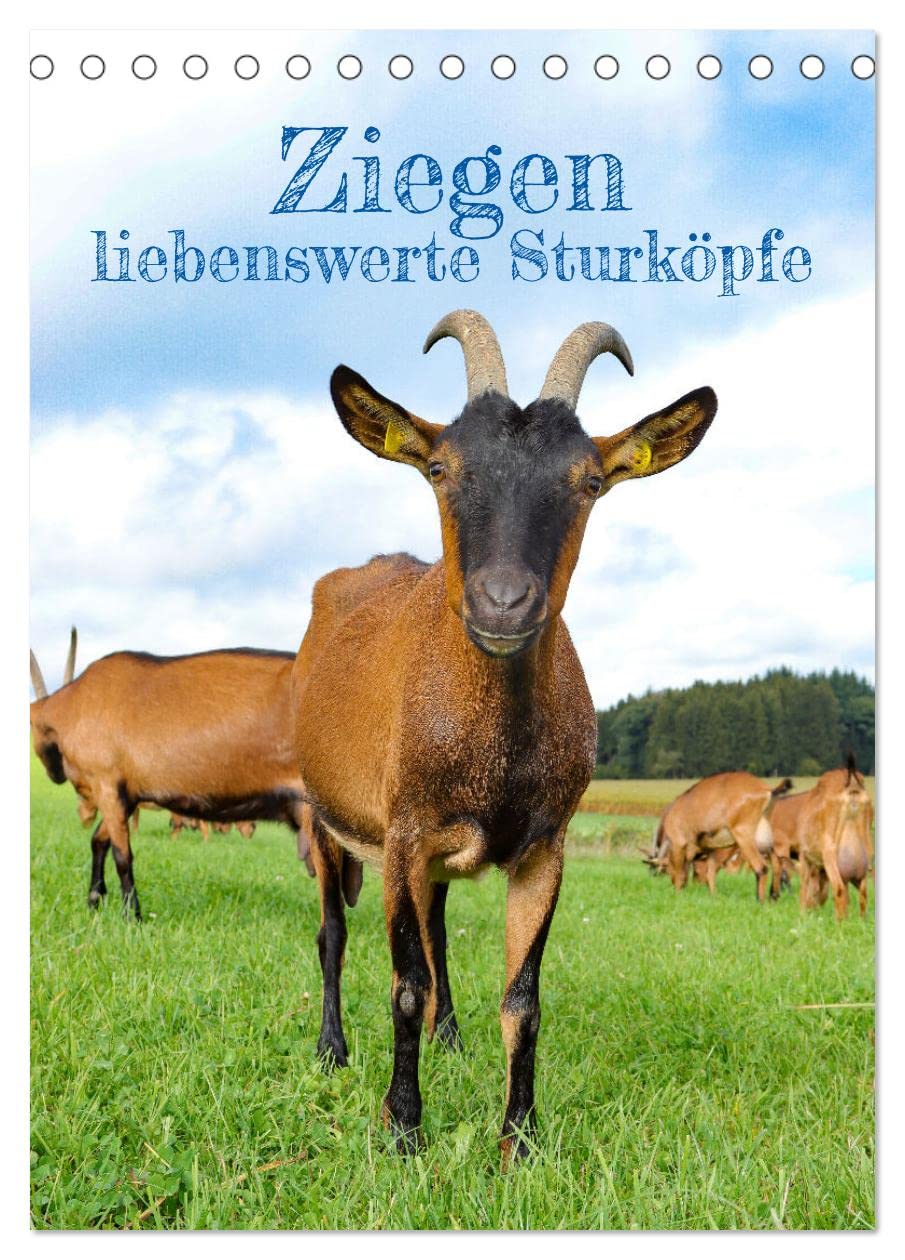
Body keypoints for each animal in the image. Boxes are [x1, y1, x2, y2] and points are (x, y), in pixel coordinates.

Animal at [29, 635, 357, 918]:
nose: (54, 774)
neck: (74, 703)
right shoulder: (126, 795)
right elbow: (99, 841)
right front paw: (94, 901)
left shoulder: (107, 783)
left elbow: (123, 856)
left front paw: (133, 917)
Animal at [290, 309, 717, 1160]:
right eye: (439, 469)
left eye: (588, 482)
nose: (502, 604)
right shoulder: (402, 832)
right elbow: (404, 983)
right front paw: (401, 1129)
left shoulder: (543, 846)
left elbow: (522, 997)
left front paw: (517, 1140)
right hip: (323, 816)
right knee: (333, 933)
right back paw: (331, 1051)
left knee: (438, 933)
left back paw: (451, 1040)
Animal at [652, 773, 792, 900]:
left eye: (666, 869)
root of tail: (766, 789)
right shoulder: (710, 850)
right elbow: (710, 873)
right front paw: (713, 896)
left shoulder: (678, 844)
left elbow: (679, 872)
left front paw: (678, 895)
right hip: (764, 840)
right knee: (777, 863)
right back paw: (774, 897)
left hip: (744, 837)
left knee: (761, 867)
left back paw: (760, 901)